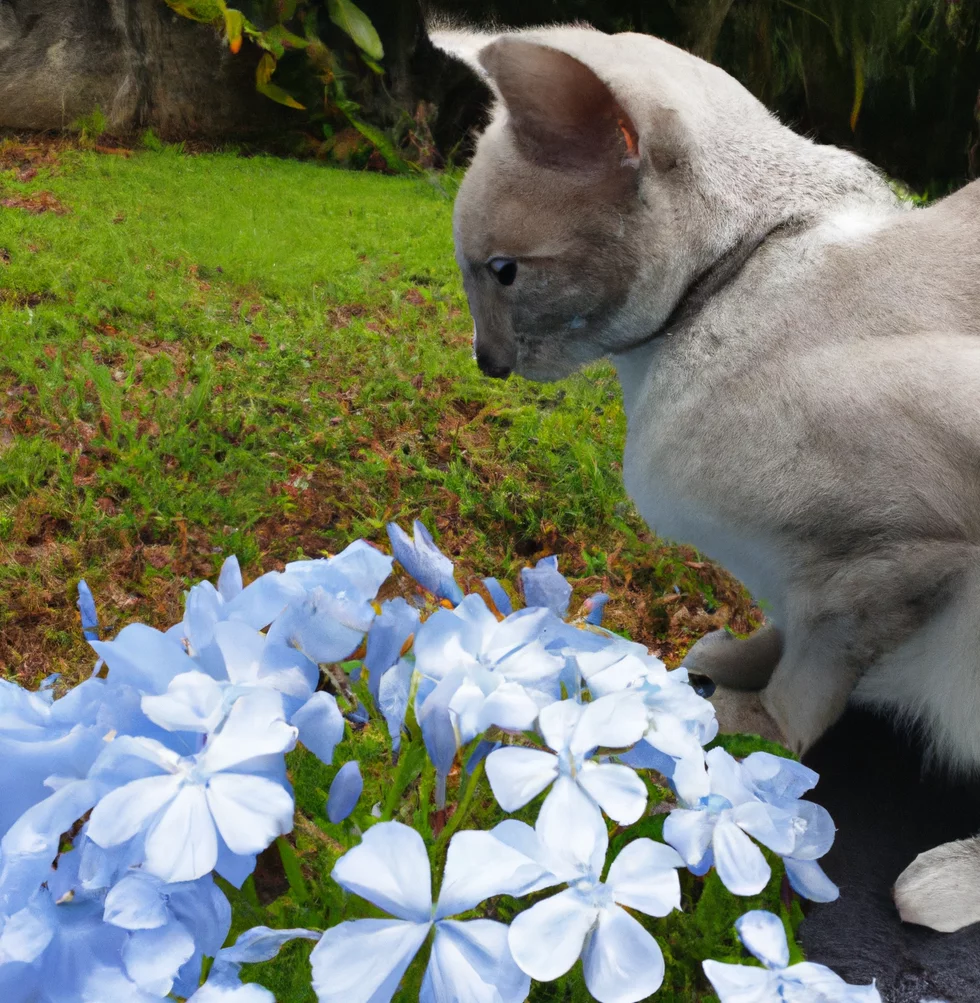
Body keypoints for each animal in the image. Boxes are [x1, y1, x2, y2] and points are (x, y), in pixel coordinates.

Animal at [431, 19, 978, 934]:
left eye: (504, 272)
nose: (487, 362)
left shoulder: (897, 561)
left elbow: (808, 686)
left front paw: (745, 727)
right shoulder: (809, 578)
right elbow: (780, 632)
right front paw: (722, 663)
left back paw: (935, 886)